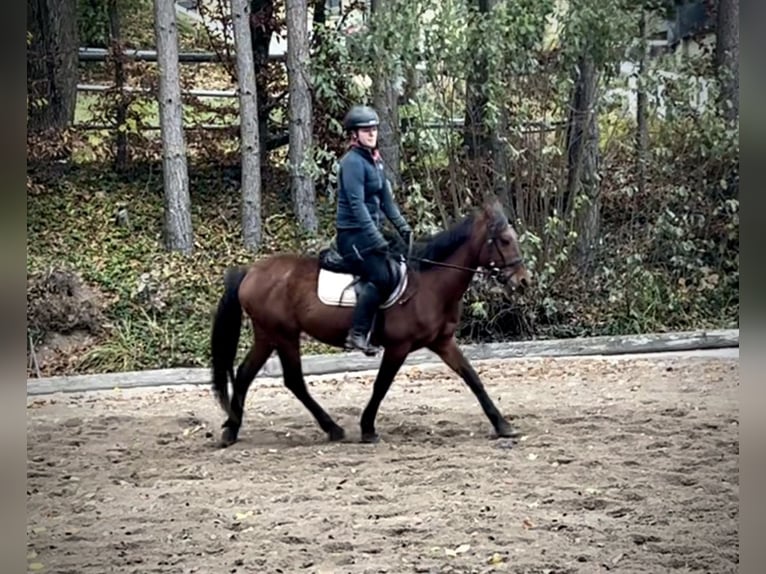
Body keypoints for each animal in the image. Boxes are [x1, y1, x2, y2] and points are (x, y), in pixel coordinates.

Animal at [212, 200, 536, 448]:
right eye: (504, 240)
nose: (523, 281)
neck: (430, 283)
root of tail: (251, 271)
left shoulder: (443, 342)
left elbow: (472, 378)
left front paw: (502, 424)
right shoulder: (398, 346)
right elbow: (381, 385)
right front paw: (368, 428)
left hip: (267, 335)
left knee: (245, 374)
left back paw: (232, 429)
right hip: (283, 334)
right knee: (293, 381)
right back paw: (331, 428)